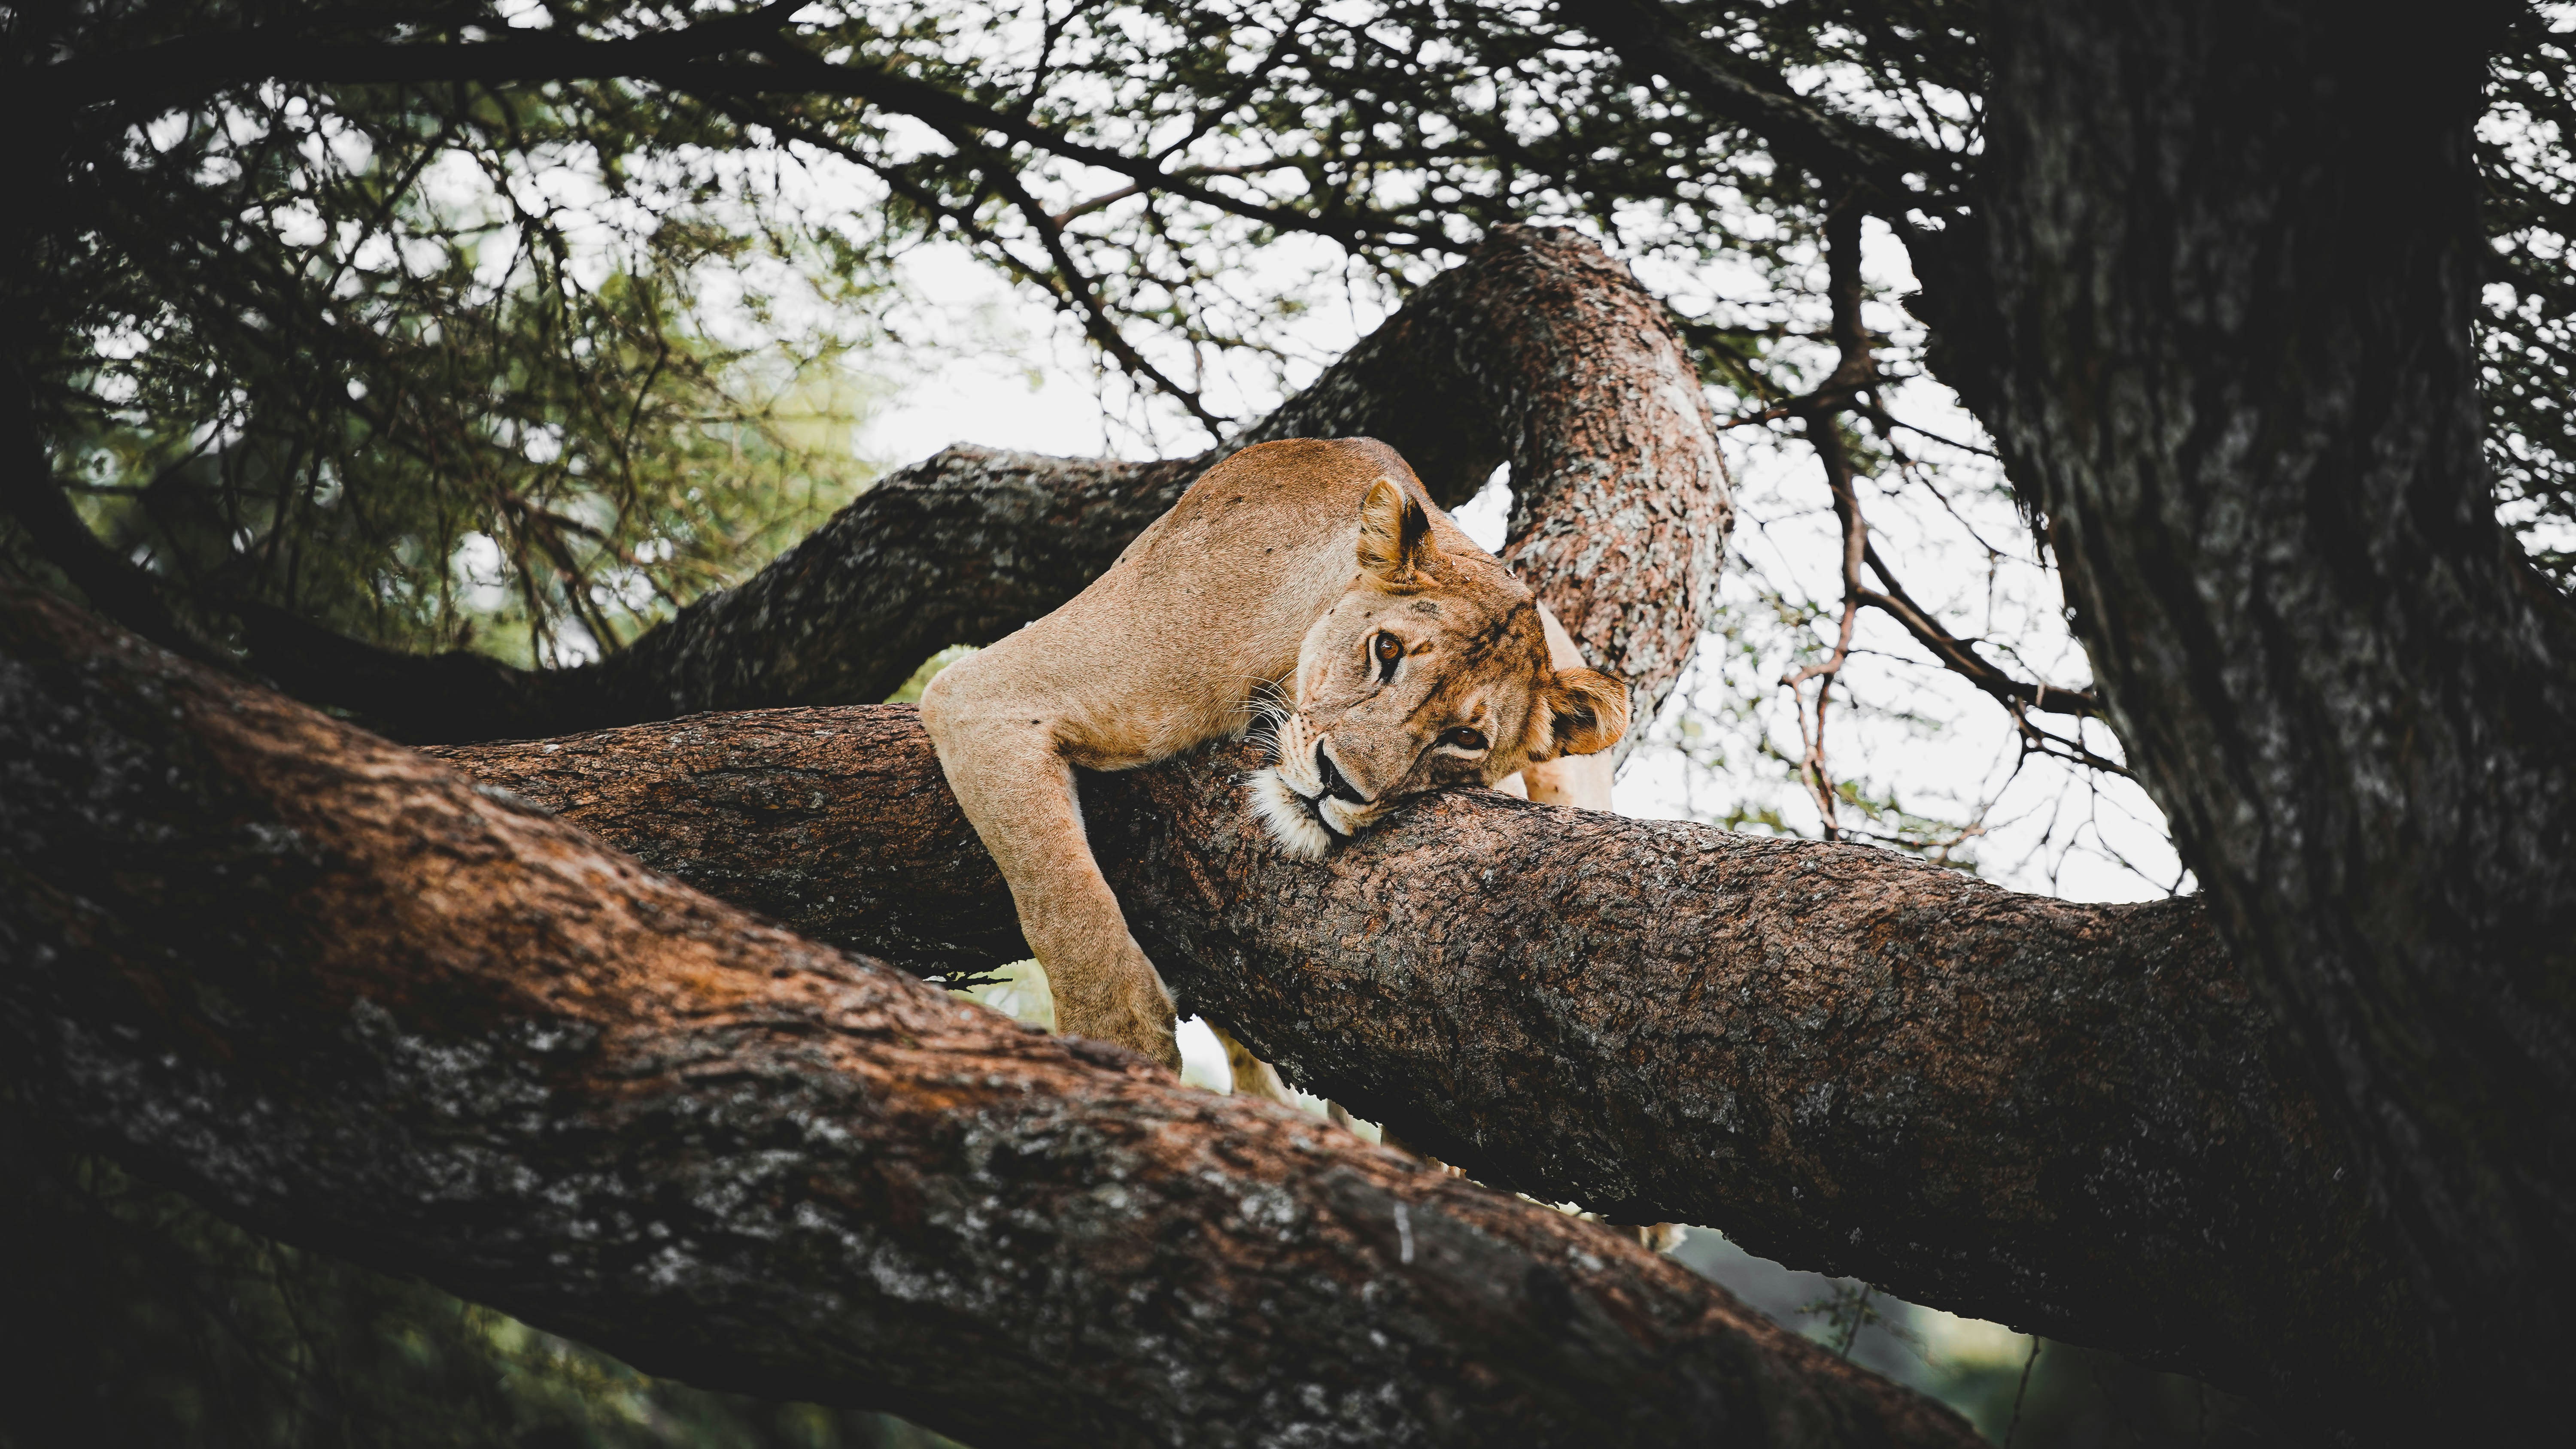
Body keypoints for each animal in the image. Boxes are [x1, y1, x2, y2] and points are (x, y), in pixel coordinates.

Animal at [919, 436, 1629, 1102]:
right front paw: (1116, 1040)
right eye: (1387, 649)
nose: (1338, 782)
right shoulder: (984, 695)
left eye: (1465, 738)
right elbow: (1060, 893)